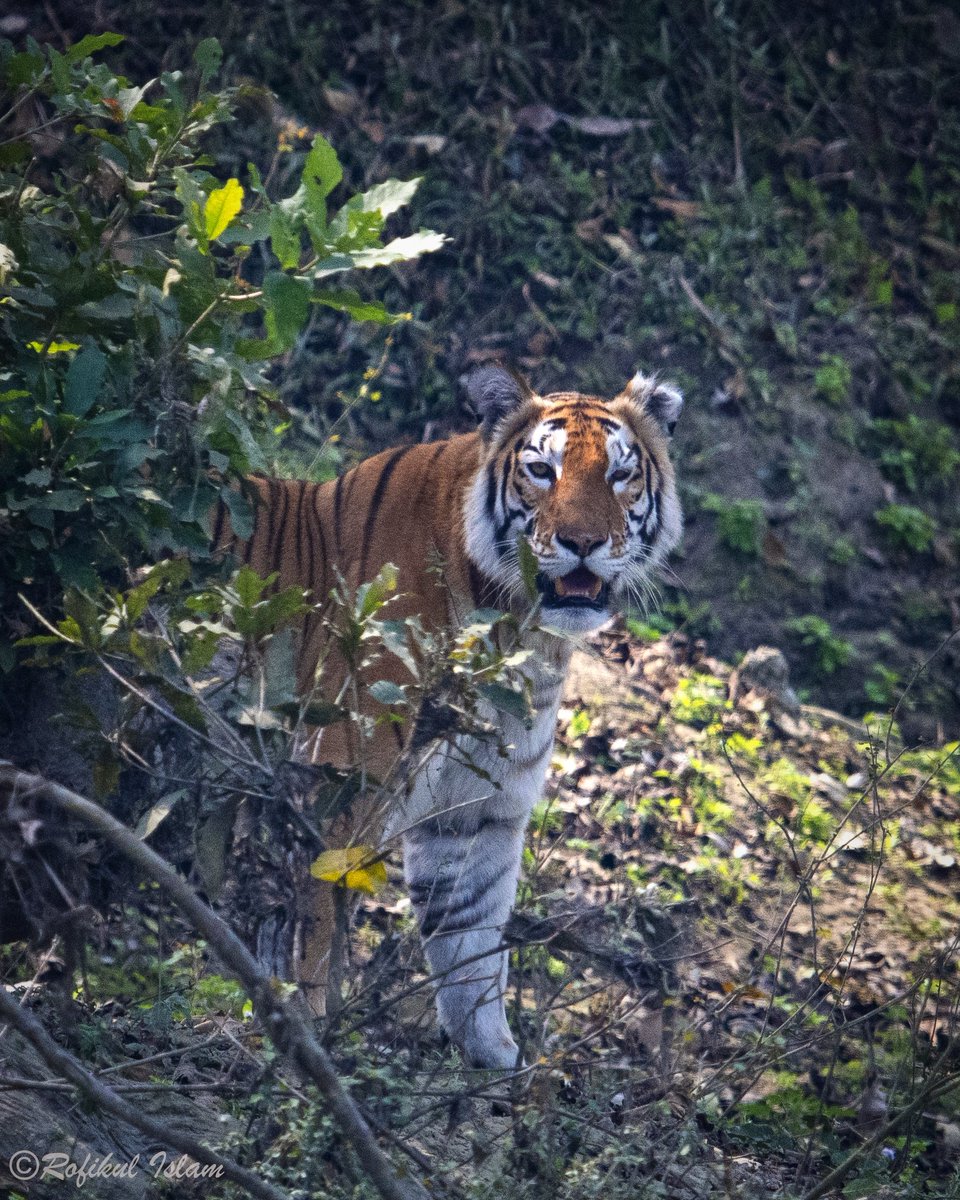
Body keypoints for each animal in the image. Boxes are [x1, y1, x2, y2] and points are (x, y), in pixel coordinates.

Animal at [217, 362, 681, 1070]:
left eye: (620, 474)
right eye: (541, 471)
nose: (582, 542)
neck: (525, 639)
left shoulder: (477, 812)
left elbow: (472, 943)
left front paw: (496, 1063)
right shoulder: (333, 783)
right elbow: (311, 928)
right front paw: (306, 1043)